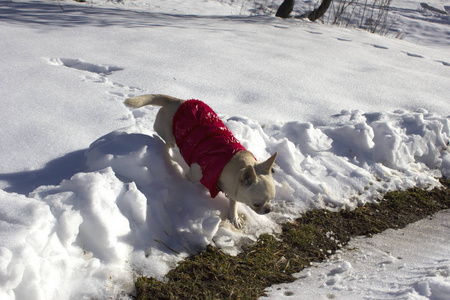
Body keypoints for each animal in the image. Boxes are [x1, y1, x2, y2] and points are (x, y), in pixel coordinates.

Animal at [124, 94, 278, 227]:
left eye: (271, 200)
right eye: (257, 204)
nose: (268, 210)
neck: (229, 161)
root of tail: (176, 101)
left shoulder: (233, 188)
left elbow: (233, 203)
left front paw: (234, 218)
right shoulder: (194, 175)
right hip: (167, 134)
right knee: (167, 143)